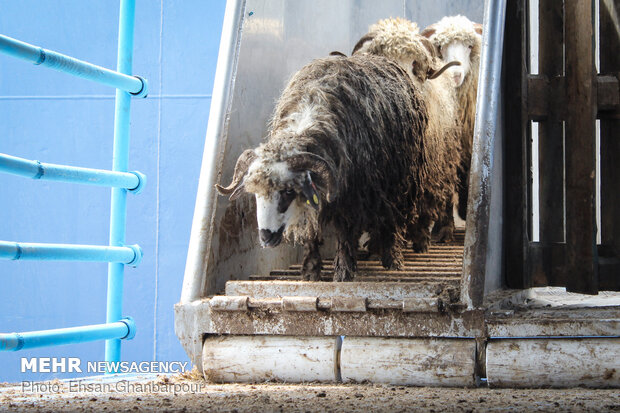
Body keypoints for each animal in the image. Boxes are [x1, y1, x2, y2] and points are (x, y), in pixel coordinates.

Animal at [219, 54, 432, 280]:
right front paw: (311, 273)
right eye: (255, 194)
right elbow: (311, 233)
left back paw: (392, 260)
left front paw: (344, 272)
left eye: (288, 192)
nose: (266, 237)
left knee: (393, 221)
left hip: (403, 184)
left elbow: (345, 233)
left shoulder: (350, 198)